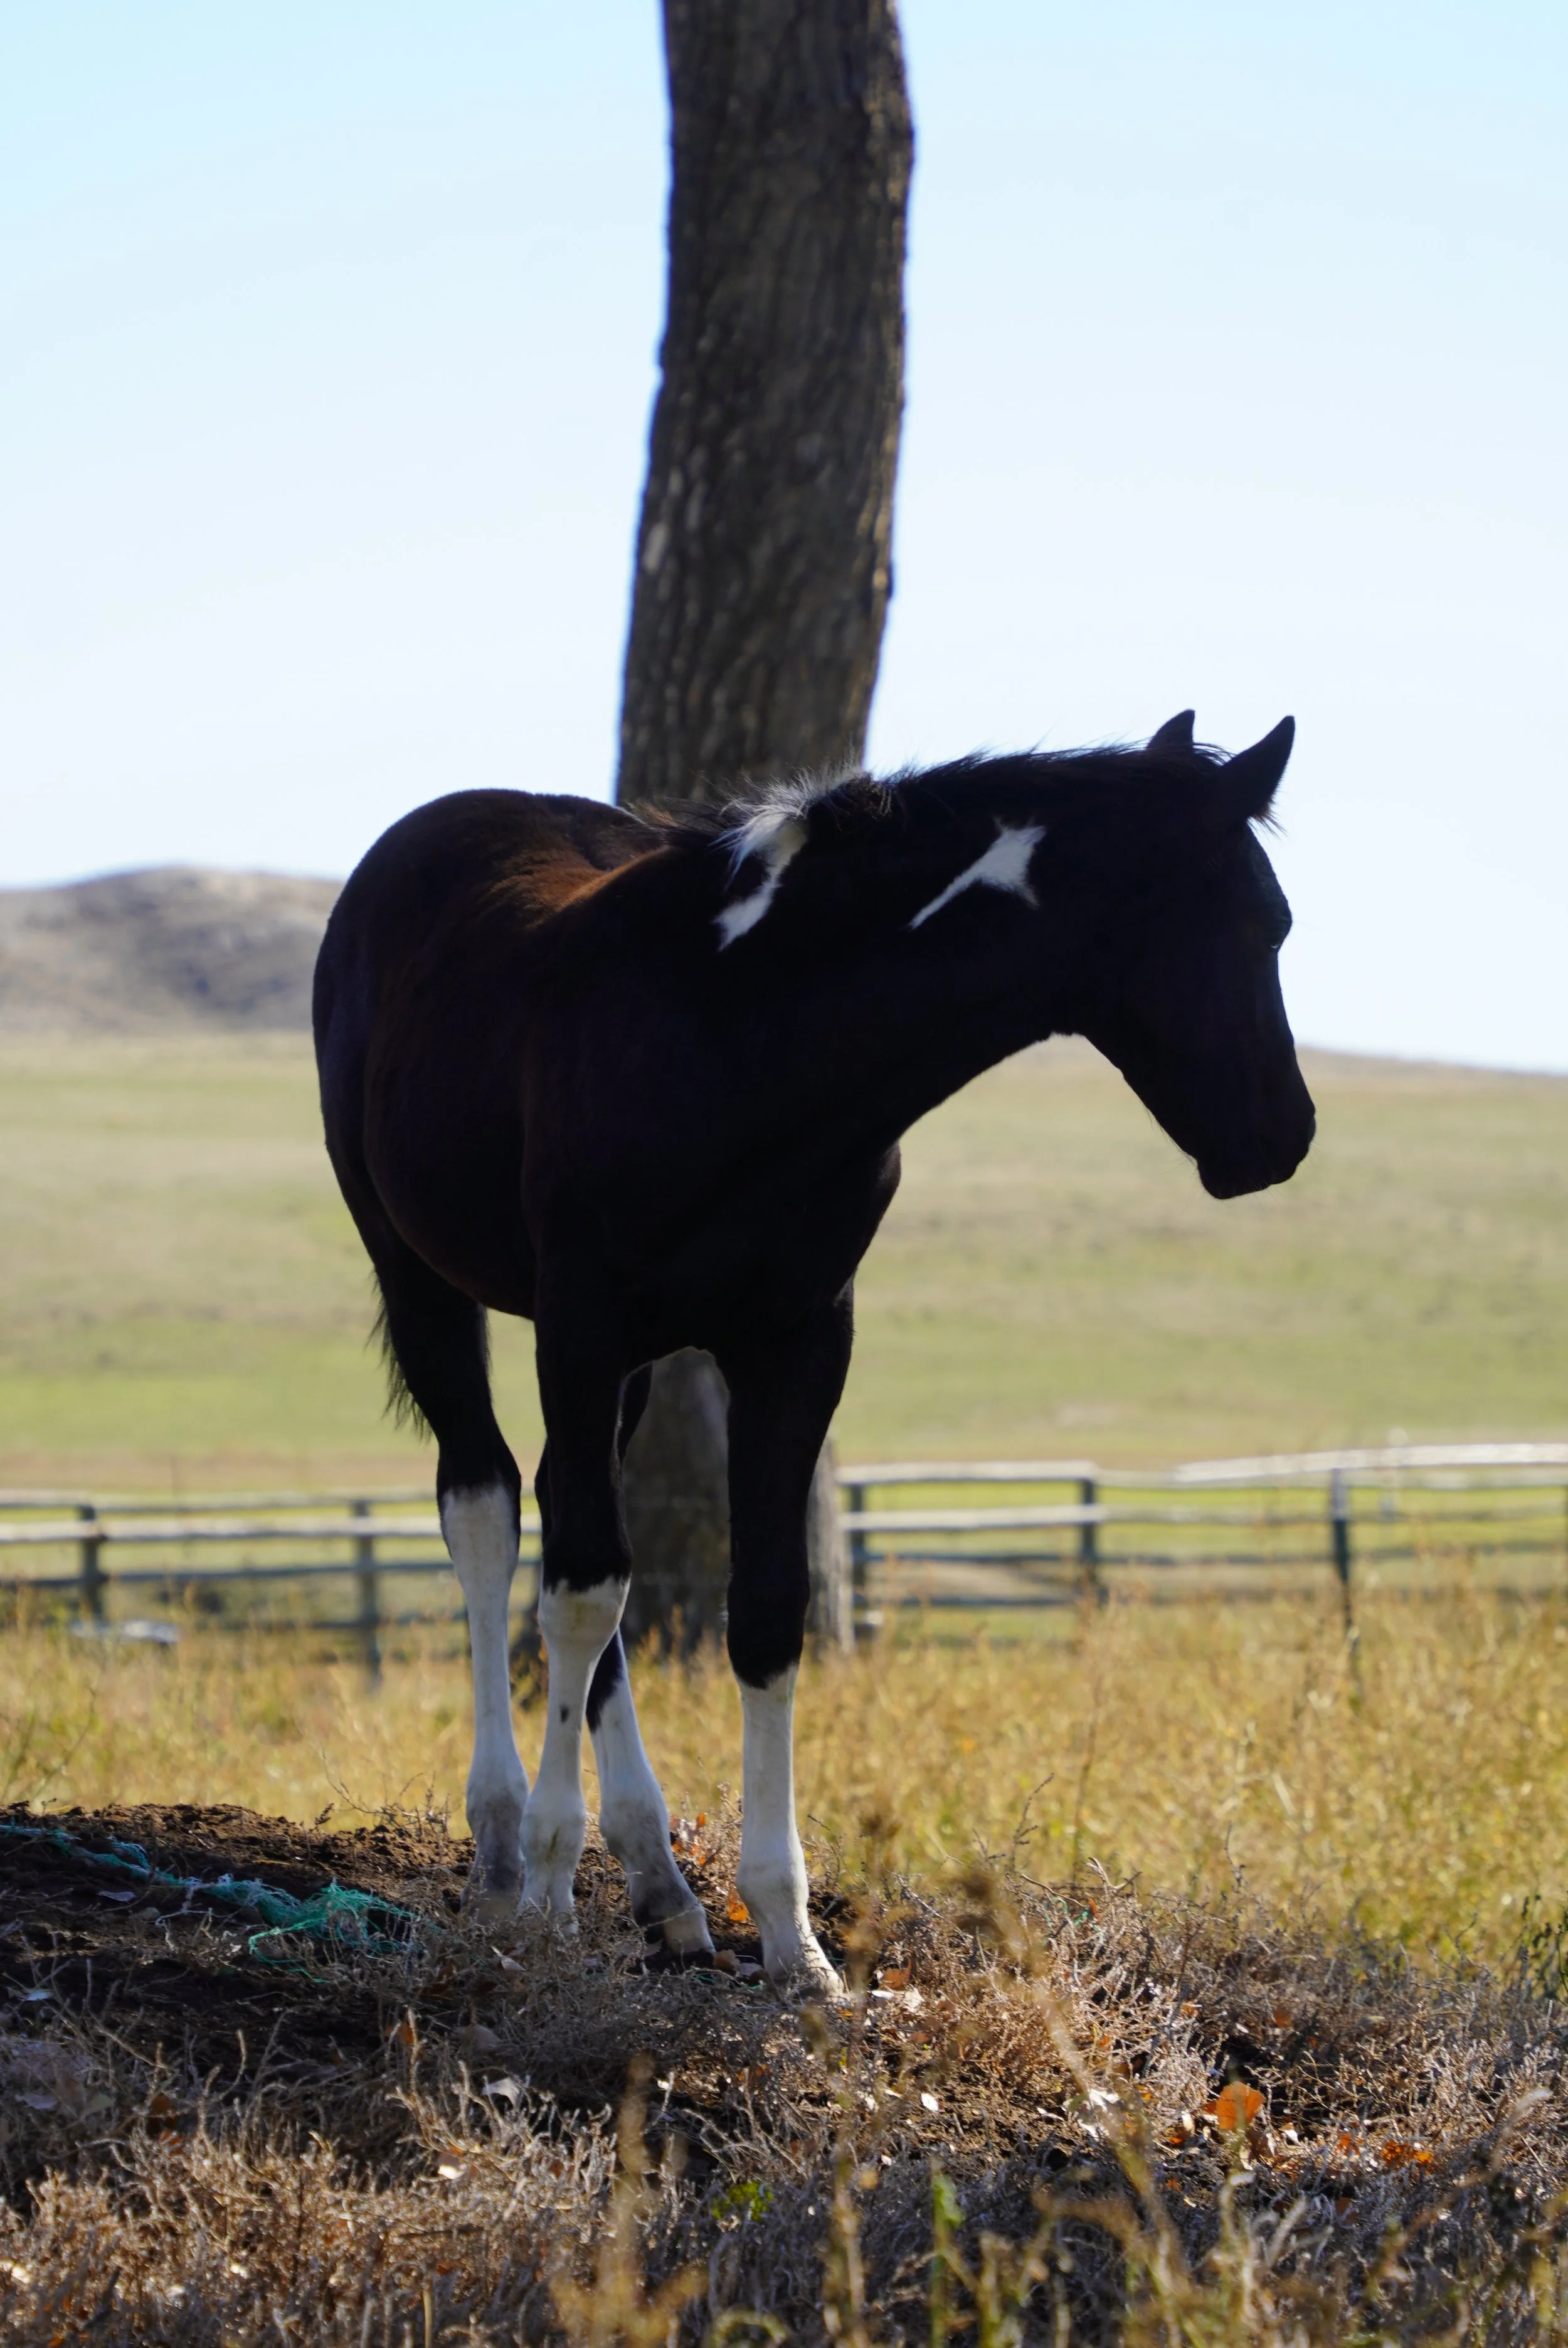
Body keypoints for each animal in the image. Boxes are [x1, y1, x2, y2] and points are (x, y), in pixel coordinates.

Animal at [312, 709, 1315, 1995]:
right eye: (1256, 921)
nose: (1282, 1136)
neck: (747, 1031)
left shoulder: (794, 1340)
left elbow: (762, 1612)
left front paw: (793, 1945)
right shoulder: (582, 1322)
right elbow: (577, 1591)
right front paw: (544, 1891)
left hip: (630, 1367)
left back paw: (661, 1884)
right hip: (425, 1279)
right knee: (489, 1511)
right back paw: (500, 1847)